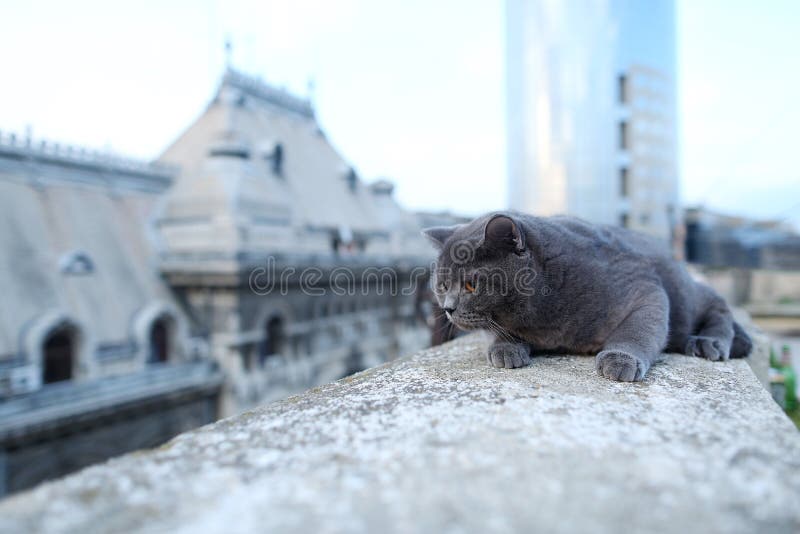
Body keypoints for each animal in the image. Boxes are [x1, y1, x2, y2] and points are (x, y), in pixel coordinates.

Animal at [422, 211, 752, 384]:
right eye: (442, 285)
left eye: (470, 286)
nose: (448, 308)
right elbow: (502, 332)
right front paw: (506, 349)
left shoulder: (642, 285)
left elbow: (638, 328)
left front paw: (620, 359)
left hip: (687, 295)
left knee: (718, 304)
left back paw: (709, 342)